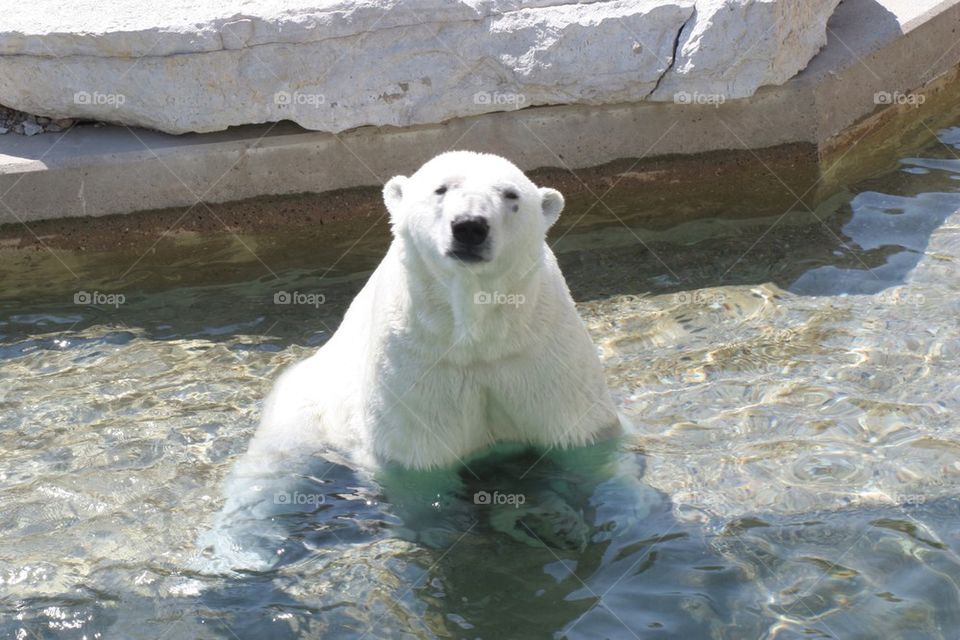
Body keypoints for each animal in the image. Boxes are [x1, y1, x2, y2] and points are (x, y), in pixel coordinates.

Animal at [202, 151, 636, 568]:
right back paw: (241, 551)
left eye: (511, 195)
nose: (470, 227)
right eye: (441, 189)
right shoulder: (417, 365)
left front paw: (558, 521)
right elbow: (421, 468)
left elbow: (576, 447)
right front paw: (447, 530)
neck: (475, 336)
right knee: (271, 474)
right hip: (305, 407)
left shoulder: (541, 356)